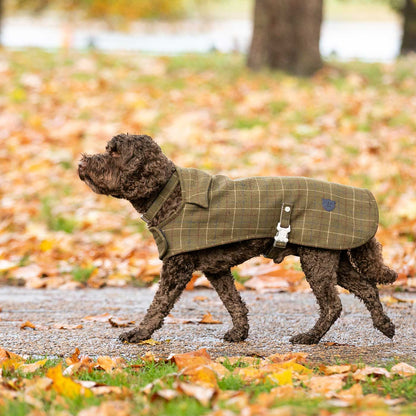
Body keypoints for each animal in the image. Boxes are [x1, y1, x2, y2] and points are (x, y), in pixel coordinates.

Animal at [77, 134, 396, 344]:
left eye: (115, 154)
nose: (82, 163)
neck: (168, 193)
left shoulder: (176, 267)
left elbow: (159, 305)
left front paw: (139, 333)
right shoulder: (216, 269)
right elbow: (233, 302)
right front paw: (240, 333)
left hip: (317, 261)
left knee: (332, 305)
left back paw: (309, 337)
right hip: (333, 259)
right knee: (367, 288)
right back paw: (385, 326)